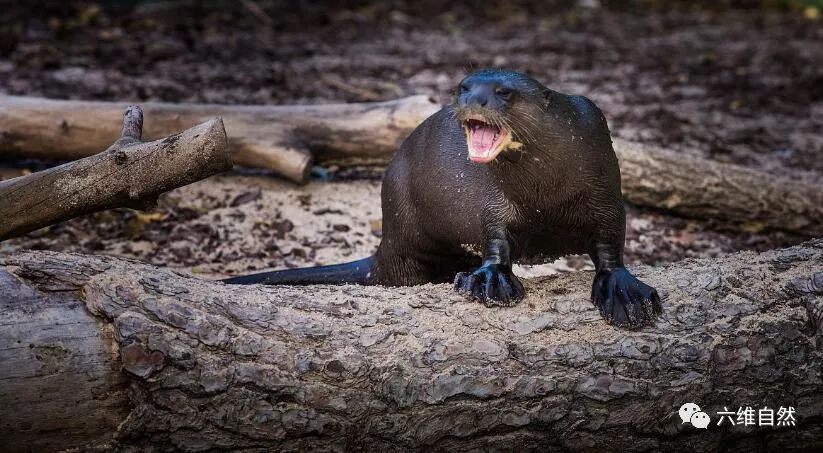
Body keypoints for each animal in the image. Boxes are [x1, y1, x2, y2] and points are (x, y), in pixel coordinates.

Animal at [225, 68, 664, 328]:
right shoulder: (495, 202)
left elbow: (610, 241)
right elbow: (495, 235)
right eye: (463, 87)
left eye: (503, 92)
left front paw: (623, 290)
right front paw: (490, 279)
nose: (470, 99)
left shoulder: (605, 189)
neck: (547, 189)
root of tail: (385, 246)